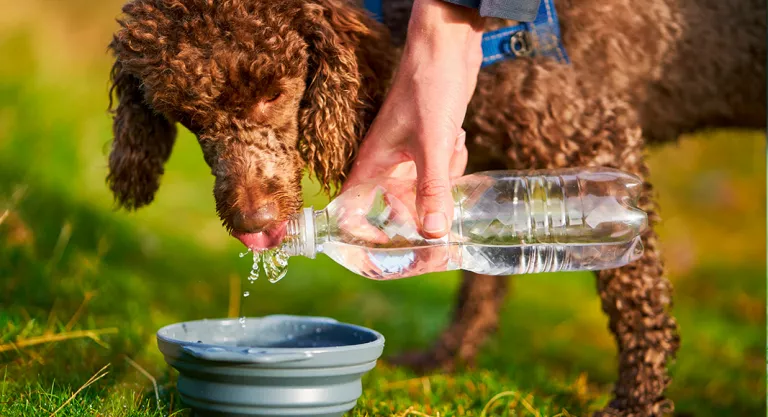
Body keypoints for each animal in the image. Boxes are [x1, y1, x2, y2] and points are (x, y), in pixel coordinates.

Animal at [106, 1, 760, 414]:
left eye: (272, 92)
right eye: (186, 114)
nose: (253, 224)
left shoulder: (593, 135)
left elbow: (636, 298)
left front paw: (638, 400)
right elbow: (481, 281)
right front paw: (449, 357)